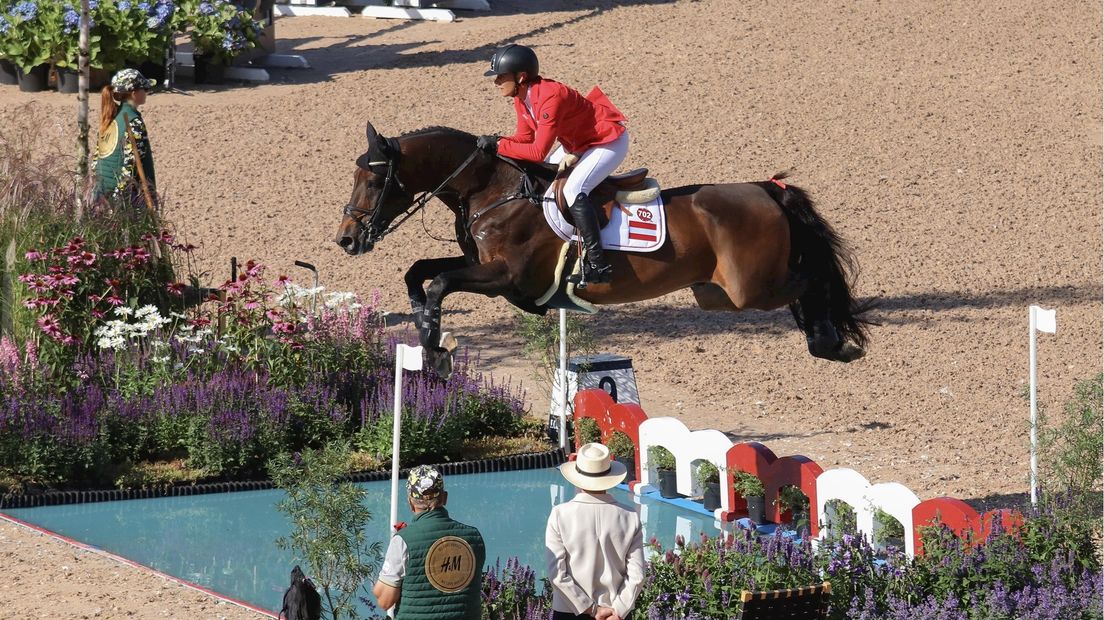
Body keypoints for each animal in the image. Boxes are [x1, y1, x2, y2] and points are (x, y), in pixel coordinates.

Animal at [333, 120, 869, 370]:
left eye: (373, 180)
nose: (346, 239)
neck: (491, 188)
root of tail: (766, 189)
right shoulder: (482, 268)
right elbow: (420, 272)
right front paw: (427, 333)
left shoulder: (505, 278)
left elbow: (440, 281)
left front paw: (435, 347)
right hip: (718, 295)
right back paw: (827, 342)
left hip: (751, 288)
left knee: (812, 281)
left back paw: (832, 343)